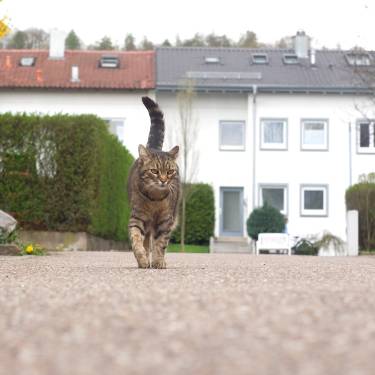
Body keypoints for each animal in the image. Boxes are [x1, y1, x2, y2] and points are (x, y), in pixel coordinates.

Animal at [127, 95, 181, 268]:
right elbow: (136, 240)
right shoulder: (137, 218)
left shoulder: (165, 222)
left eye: (170, 172)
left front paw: (158, 261)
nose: (163, 181)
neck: (155, 199)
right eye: (155, 171)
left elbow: (160, 244)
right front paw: (142, 259)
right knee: (146, 240)